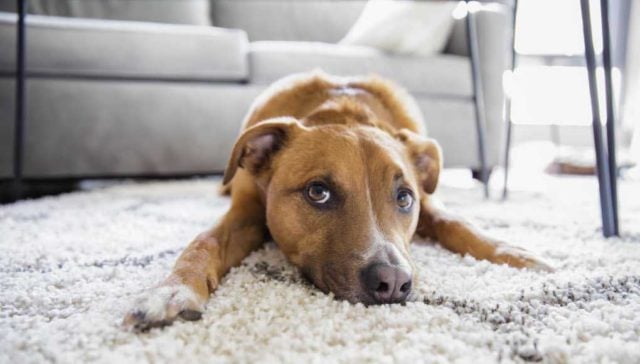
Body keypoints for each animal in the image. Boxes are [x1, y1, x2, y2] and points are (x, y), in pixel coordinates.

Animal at [124, 72, 552, 332]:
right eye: (318, 192)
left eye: (404, 198)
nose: (393, 283)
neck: (343, 114)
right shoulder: (245, 212)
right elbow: (204, 241)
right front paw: (172, 291)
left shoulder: (430, 202)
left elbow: (458, 222)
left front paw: (515, 253)